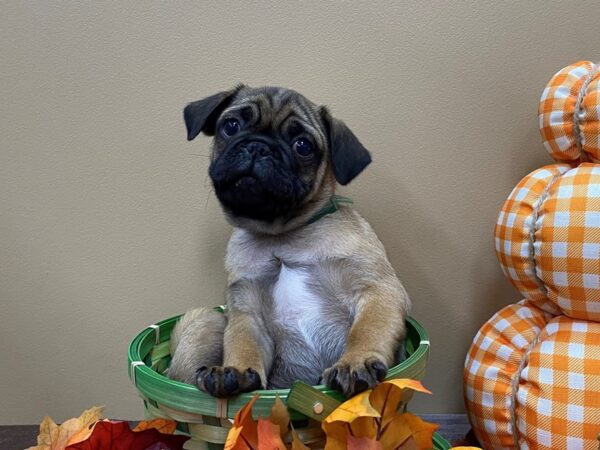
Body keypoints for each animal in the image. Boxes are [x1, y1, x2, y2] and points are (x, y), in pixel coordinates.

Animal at [170, 84, 412, 398]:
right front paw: (235, 370)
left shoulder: (377, 291)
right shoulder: (248, 314)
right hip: (206, 320)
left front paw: (354, 362)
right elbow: (242, 343)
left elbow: (366, 330)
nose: (259, 146)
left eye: (303, 146)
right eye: (231, 126)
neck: (284, 238)